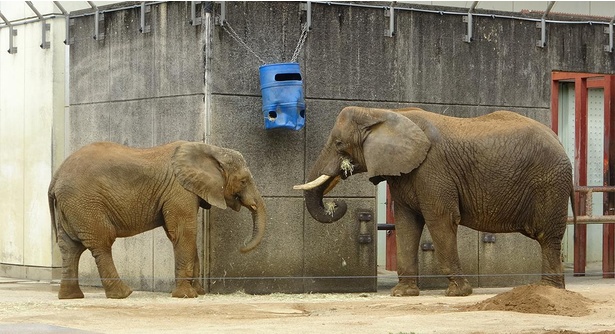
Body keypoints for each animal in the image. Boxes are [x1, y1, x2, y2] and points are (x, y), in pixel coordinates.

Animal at [48, 140, 268, 298]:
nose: (241, 247)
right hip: (85, 203)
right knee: (101, 243)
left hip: (71, 206)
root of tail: (55, 178)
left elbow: (186, 235)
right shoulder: (179, 191)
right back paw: (123, 294)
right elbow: (183, 232)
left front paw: (199, 293)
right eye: (244, 181)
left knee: (70, 247)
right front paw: (186, 296)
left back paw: (71, 297)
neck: (209, 149)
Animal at [296, 107, 576, 298]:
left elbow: (441, 219)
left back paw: (548, 291)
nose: (338, 204)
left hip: (550, 183)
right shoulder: (407, 175)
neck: (383, 113)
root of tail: (559, 140)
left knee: (548, 237)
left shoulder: (433, 169)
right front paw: (403, 293)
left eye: (339, 144)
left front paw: (458, 293)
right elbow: (407, 223)